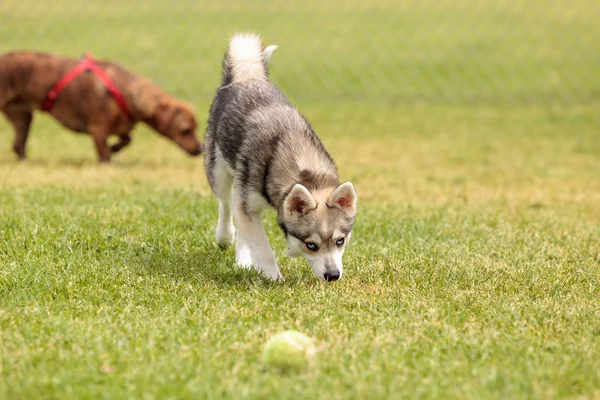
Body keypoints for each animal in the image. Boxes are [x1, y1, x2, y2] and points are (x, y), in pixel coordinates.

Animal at [0, 50, 203, 162]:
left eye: (195, 128)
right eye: (186, 130)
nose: (200, 149)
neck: (124, 88)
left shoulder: (120, 126)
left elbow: (127, 139)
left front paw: (116, 148)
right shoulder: (98, 128)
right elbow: (104, 152)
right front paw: (110, 157)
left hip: (23, 117)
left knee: (18, 145)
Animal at [204, 33, 358, 282]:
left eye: (340, 241)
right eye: (311, 245)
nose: (333, 275)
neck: (305, 172)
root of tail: (247, 77)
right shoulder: (246, 205)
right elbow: (262, 248)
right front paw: (274, 278)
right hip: (218, 171)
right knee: (225, 204)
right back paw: (225, 237)